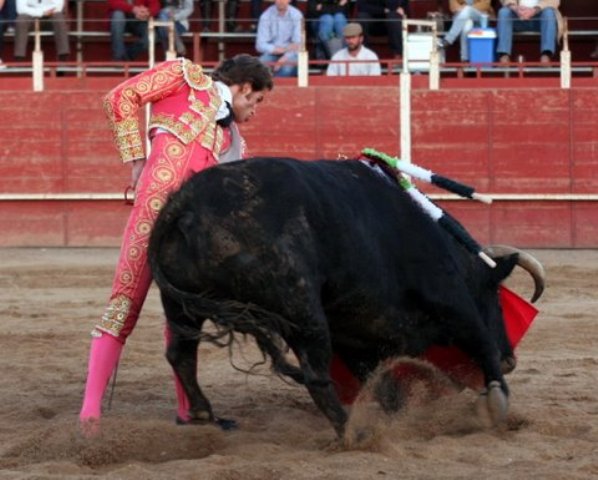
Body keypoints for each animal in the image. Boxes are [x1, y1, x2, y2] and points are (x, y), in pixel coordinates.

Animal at [148, 158, 548, 438]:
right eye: (495, 296)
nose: (511, 359)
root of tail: (185, 203)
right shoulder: (452, 301)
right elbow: (481, 342)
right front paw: (496, 401)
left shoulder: (360, 338)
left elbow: (382, 383)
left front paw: (395, 415)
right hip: (301, 306)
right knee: (316, 375)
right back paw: (352, 431)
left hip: (182, 306)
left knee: (180, 352)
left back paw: (203, 412)